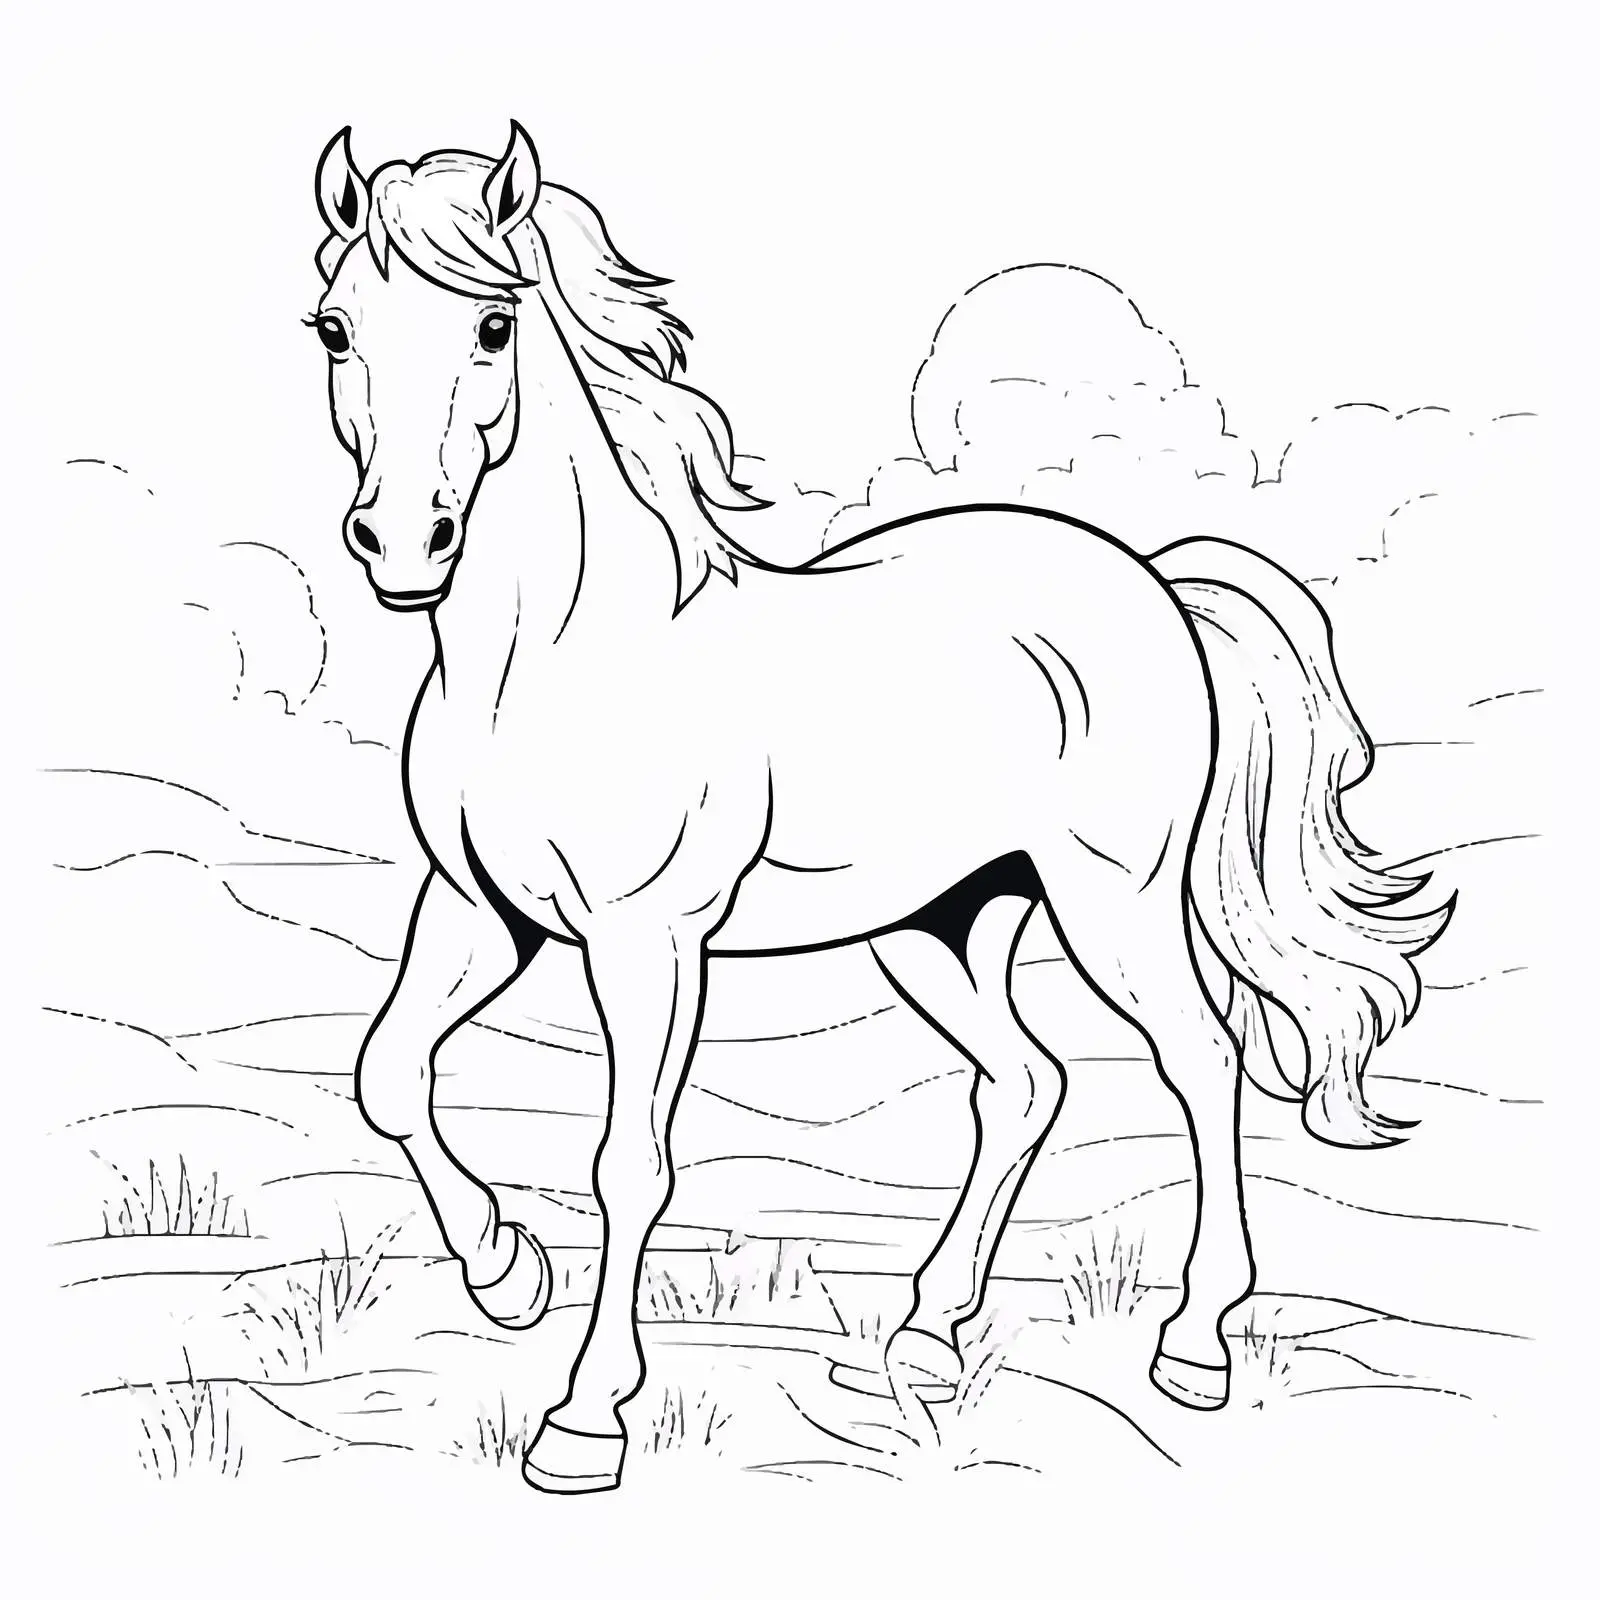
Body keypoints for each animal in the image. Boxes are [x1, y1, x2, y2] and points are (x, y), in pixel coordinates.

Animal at [305, 122, 1449, 1493]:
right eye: (334, 327)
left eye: (492, 325)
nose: (400, 543)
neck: (558, 654)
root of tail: (1153, 580)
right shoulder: (483, 913)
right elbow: (388, 1072)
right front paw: (506, 1273)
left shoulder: (647, 939)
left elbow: (629, 1161)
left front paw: (583, 1422)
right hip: (942, 922)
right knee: (1024, 1083)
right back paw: (918, 1339)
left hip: (1111, 900)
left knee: (1201, 1057)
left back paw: (1191, 1349)